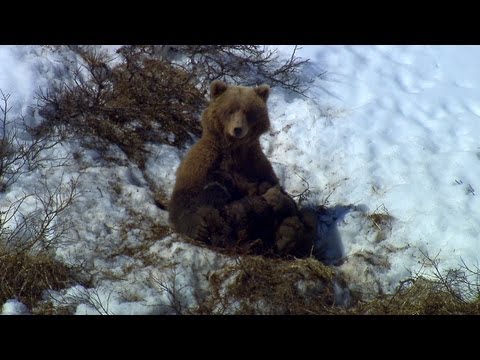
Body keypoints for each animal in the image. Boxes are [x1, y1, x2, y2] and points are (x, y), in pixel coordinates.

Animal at [168, 80, 316, 258]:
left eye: (248, 112)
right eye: (230, 110)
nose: (237, 129)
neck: (233, 151)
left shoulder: (255, 165)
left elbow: (280, 193)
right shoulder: (203, 163)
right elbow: (185, 198)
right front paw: (200, 228)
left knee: (298, 221)